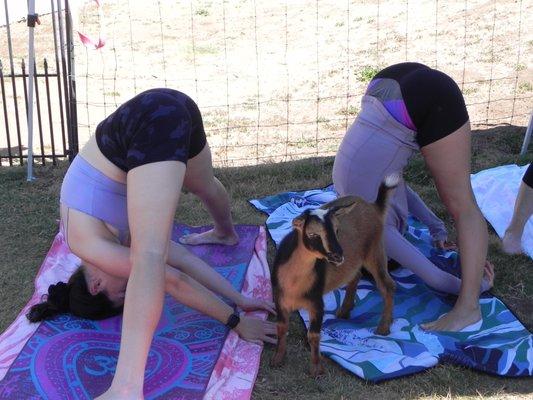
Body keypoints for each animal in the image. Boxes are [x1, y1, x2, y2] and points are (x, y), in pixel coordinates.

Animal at [272, 174, 396, 376]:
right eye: (313, 234)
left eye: (337, 230)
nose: (338, 255)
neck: (294, 283)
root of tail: (373, 206)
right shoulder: (280, 300)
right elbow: (281, 328)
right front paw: (277, 360)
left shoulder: (316, 303)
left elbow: (314, 335)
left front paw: (316, 369)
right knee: (355, 276)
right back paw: (345, 311)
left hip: (375, 250)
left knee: (387, 285)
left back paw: (383, 328)